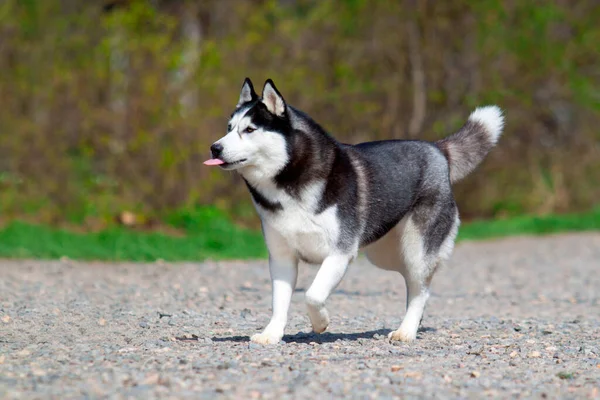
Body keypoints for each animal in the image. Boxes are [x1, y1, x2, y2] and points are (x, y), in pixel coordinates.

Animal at [204, 78, 504, 344]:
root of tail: (437, 149)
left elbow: (312, 294)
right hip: (384, 255)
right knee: (411, 283)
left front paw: (320, 323)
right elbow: (280, 301)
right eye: (229, 127)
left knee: (422, 289)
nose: (214, 147)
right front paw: (272, 335)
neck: (289, 182)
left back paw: (407, 331)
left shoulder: (340, 252)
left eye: (250, 129)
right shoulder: (281, 257)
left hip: (417, 250)